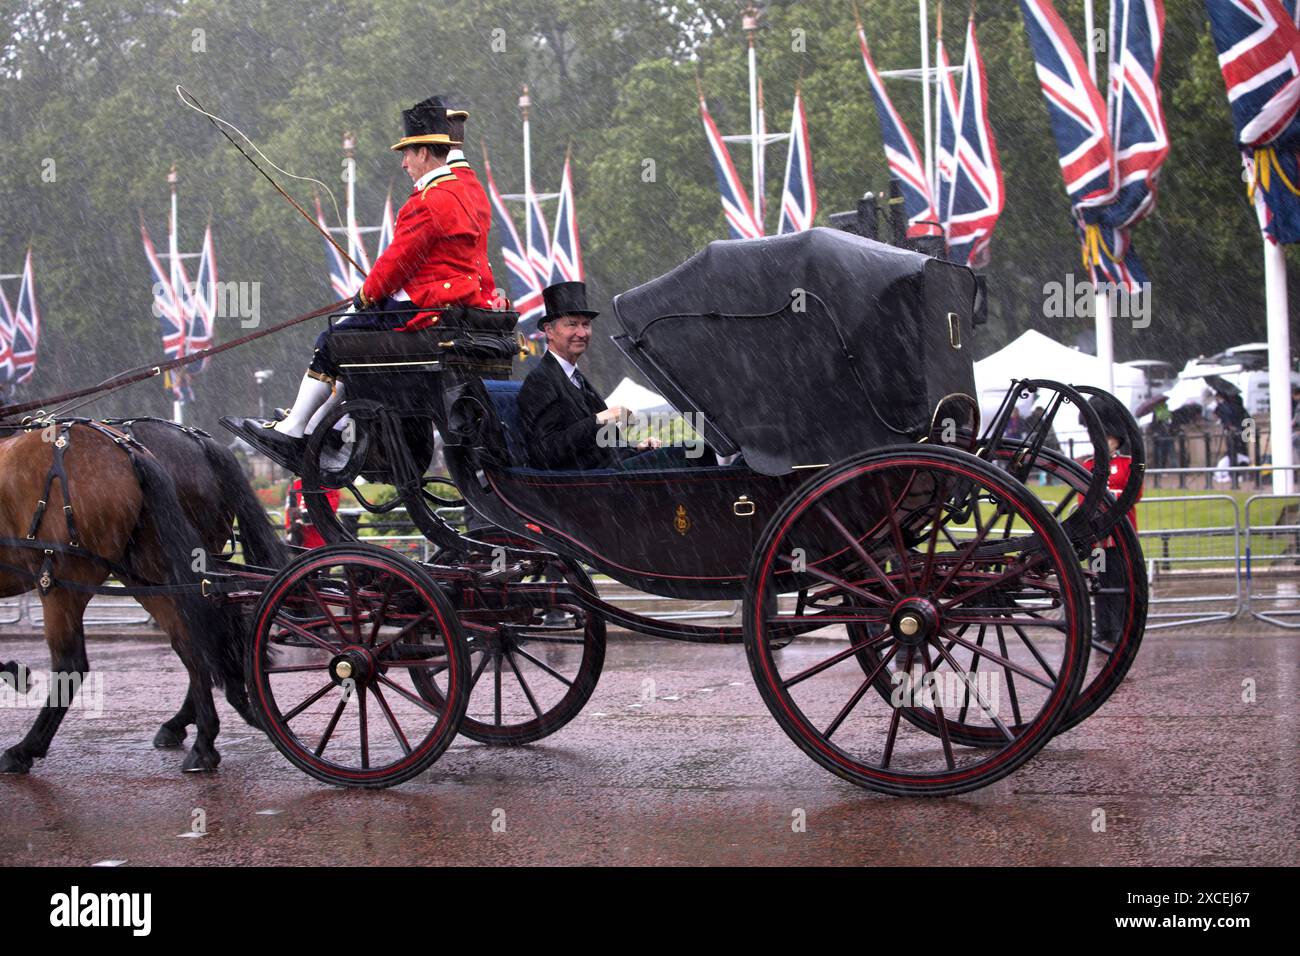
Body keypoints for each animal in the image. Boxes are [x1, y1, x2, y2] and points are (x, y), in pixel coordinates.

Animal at [1, 421, 280, 775]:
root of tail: (129, 449)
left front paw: (13, 672)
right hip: (150, 571)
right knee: (196, 639)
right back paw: (202, 737)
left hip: (65, 581)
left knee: (71, 662)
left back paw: (25, 748)